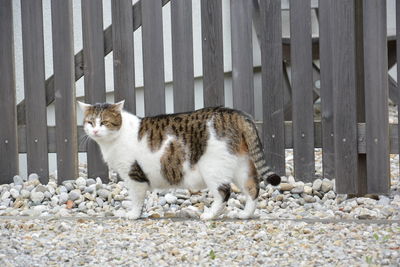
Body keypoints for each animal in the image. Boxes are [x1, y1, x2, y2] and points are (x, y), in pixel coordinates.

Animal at [78, 101, 282, 221]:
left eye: (104, 122)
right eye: (90, 122)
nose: (95, 130)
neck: (116, 137)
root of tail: (235, 113)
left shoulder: (134, 175)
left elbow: (136, 199)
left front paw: (133, 215)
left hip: (213, 168)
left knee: (224, 192)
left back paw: (209, 215)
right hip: (241, 166)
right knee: (252, 189)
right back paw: (245, 214)